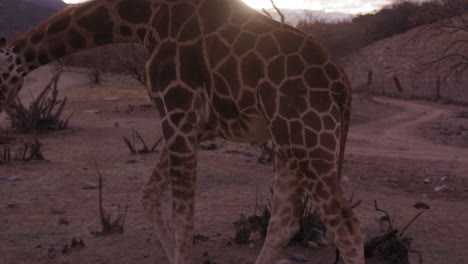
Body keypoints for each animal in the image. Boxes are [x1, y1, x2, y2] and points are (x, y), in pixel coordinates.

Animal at [0, 0, 364, 264]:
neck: (143, 18)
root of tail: (341, 82)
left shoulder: (177, 114)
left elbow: (184, 224)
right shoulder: (193, 127)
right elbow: (149, 195)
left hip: (307, 137)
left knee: (347, 229)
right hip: (287, 140)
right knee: (284, 222)